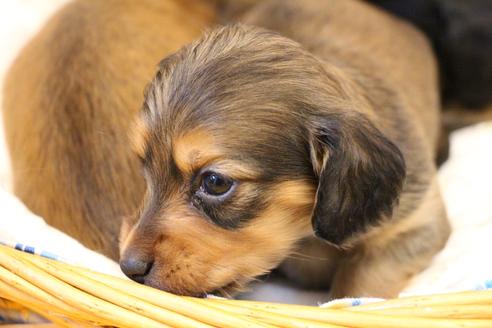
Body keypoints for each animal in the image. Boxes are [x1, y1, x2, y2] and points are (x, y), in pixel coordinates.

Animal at [118, 0, 450, 298]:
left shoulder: (414, 224)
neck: (306, 238)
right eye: (145, 165)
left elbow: (362, 283)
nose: (128, 267)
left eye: (215, 182)